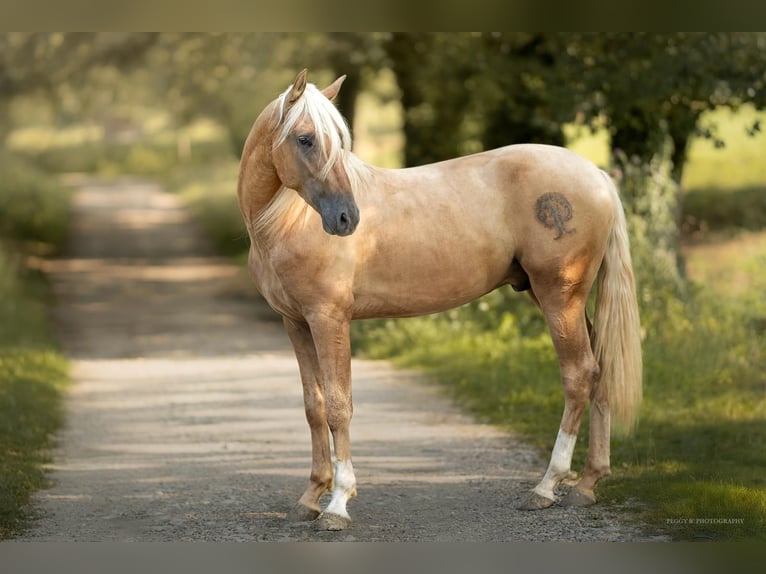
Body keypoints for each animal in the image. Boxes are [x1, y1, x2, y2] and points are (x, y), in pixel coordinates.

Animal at [237, 70, 644, 532]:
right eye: (304, 139)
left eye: (337, 142)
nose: (346, 218)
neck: (286, 222)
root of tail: (596, 175)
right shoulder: (296, 322)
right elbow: (314, 406)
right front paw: (310, 496)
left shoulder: (329, 319)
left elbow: (340, 406)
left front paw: (338, 503)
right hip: (564, 302)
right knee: (600, 369)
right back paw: (588, 484)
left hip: (560, 297)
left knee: (578, 375)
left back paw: (546, 487)